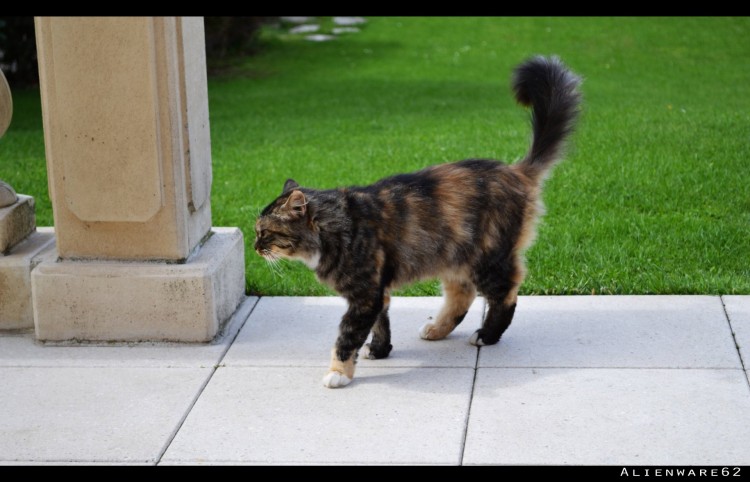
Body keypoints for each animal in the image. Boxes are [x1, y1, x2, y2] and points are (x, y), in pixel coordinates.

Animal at [256, 56, 584, 388]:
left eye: (265, 232)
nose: (256, 247)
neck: (338, 226)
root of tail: (516, 170)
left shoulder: (364, 294)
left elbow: (347, 338)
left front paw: (338, 373)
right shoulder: (378, 291)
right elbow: (381, 324)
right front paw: (380, 350)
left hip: (488, 259)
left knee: (506, 292)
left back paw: (487, 335)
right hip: (454, 257)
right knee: (462, 295)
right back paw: (437, 329)